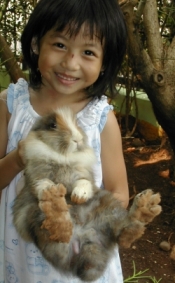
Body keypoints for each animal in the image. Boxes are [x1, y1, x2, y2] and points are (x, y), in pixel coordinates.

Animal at [13, 107, 162, 282]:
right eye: (52, 125)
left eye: (77, 123)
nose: (77, 139)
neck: (63, 157)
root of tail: (86, 237)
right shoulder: (36, 175)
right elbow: (43, 183)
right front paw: (50, 190)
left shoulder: (84, 175)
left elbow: (83, 183)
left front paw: (79, 196)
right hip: (35, 215)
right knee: (59, 231)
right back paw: (55, 205)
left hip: (109, 207)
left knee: (125, 232)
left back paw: (144, 208)